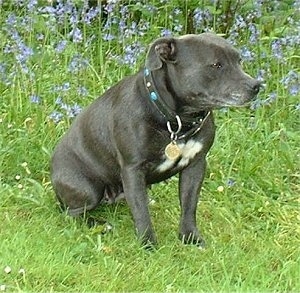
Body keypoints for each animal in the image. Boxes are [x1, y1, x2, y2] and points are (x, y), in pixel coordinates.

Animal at [50, 32, 258, 246]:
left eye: (239, 61)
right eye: (216, 65)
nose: (256, 85)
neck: (177, 120)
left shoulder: (196, 164)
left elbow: (189, 205)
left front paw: (190, 237)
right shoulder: (133, 170)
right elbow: (142, 212)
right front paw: (148, 243)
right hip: (88, 190)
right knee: (72, 213)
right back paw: (99, 224)